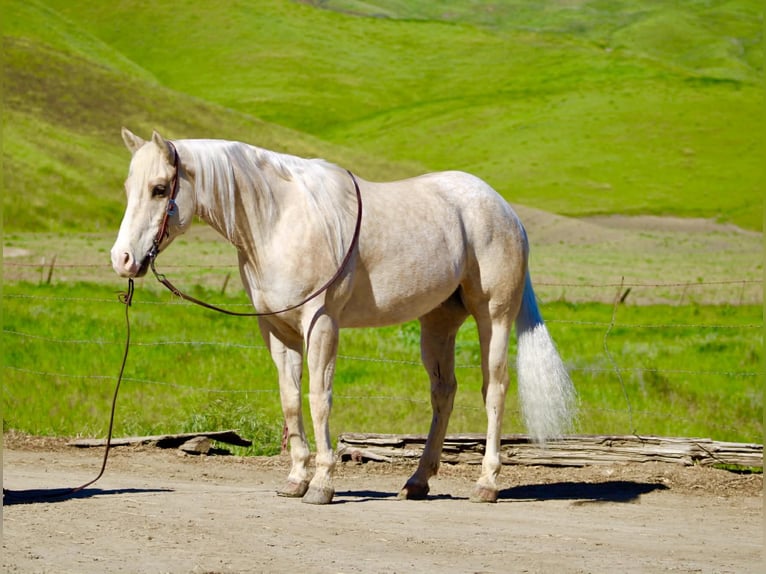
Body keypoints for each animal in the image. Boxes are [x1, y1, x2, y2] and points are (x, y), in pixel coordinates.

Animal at [111, 128, 576, 504]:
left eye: (159, 189)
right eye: (128, 187)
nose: (123, 259)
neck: (278, 220)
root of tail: (504, 210)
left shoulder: (321, 325)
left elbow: (319, 398)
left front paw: (322, 484)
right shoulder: (277, 330)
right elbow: (290, 400)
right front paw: (296, 479)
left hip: (493, 316)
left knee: (494, 389)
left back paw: (486, 484)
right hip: (438, 322)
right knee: (443, 392)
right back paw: (417, 482)